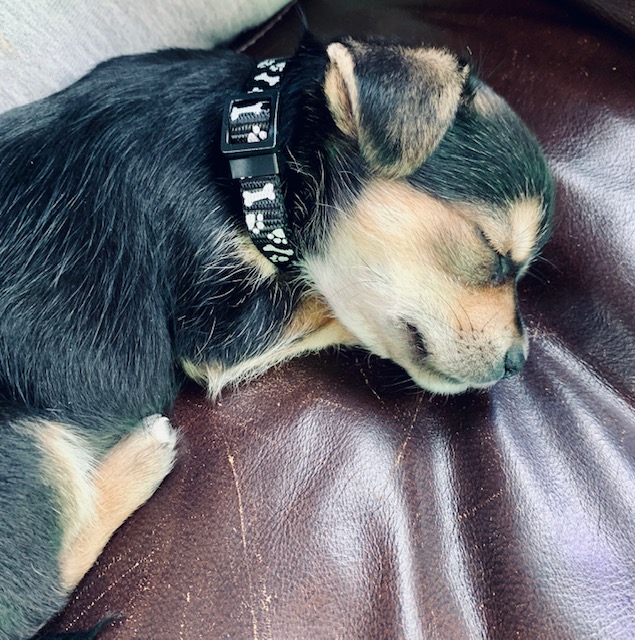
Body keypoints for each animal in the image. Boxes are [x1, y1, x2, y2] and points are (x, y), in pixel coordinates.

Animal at [0, 34, 554, 638]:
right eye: (493, 251)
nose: (520, 362)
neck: (253, 144)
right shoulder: (221, 329)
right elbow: (326, 296)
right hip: (27, 445)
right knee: (41, 585)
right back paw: (142, 457)